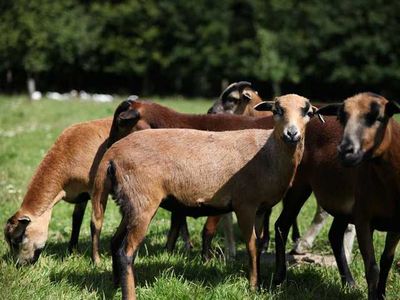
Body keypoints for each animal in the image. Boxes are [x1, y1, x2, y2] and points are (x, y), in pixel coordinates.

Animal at [90, 94, 318, 298]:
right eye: (277, 110)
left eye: (307, 112)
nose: (292, 134)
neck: (268, 153)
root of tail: (111, 155)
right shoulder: (245, 204)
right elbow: (252, 246)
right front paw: (253, 286)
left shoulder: (261, 209)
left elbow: (260, 244)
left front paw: (259, 282)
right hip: (143, 202)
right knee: (126, 252)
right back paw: (129, 293)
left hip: (130, 203)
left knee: (115, 242)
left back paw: (115, 285)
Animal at [316, 92, 400, 298]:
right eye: (341, 118)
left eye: (377, 117)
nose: (345, 151)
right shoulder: (363, 219)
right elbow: (372, 268)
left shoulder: (396, 223)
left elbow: (386, 260)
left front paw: (382, 294)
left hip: (343, 208)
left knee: (334, 235)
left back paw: (349, 283)